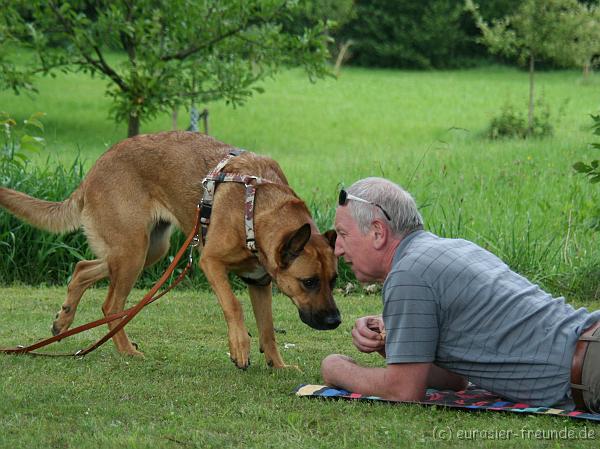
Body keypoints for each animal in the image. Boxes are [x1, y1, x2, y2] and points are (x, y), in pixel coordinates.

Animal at [0, 130, 340, 368]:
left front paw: (278, 365)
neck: (255, 208)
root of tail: (95, 167)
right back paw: (126, 351)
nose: (335, 321)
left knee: (82, 268)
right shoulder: (211, 262)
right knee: (111, 306)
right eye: (309, 282)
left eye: (333, 281)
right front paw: (239, 348)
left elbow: (267, 329)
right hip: (133, 251)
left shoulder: (259, 281)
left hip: (149, 249)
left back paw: (64, 319)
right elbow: (234, 306)